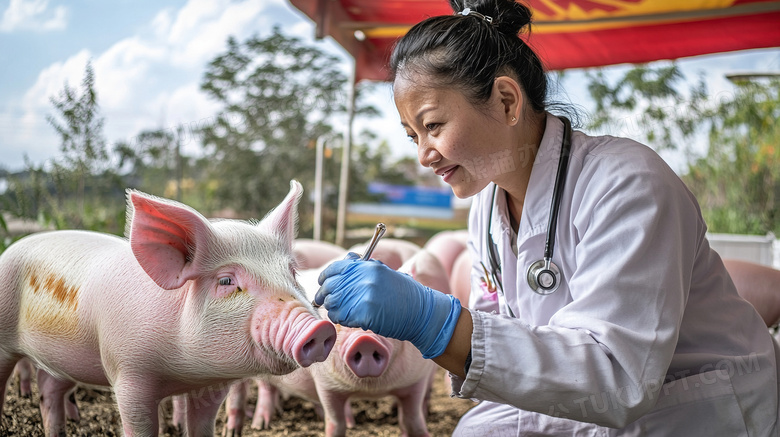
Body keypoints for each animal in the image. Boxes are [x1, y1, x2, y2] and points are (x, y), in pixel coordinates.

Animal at [0, 181, 334, 436]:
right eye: (226, 281)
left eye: (292, 272)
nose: (320, 327)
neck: (182, 371)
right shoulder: (128, 373)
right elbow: (140, 425)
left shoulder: (212, 386)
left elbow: (201, 426)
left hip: (61, 357)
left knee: (49, 390)